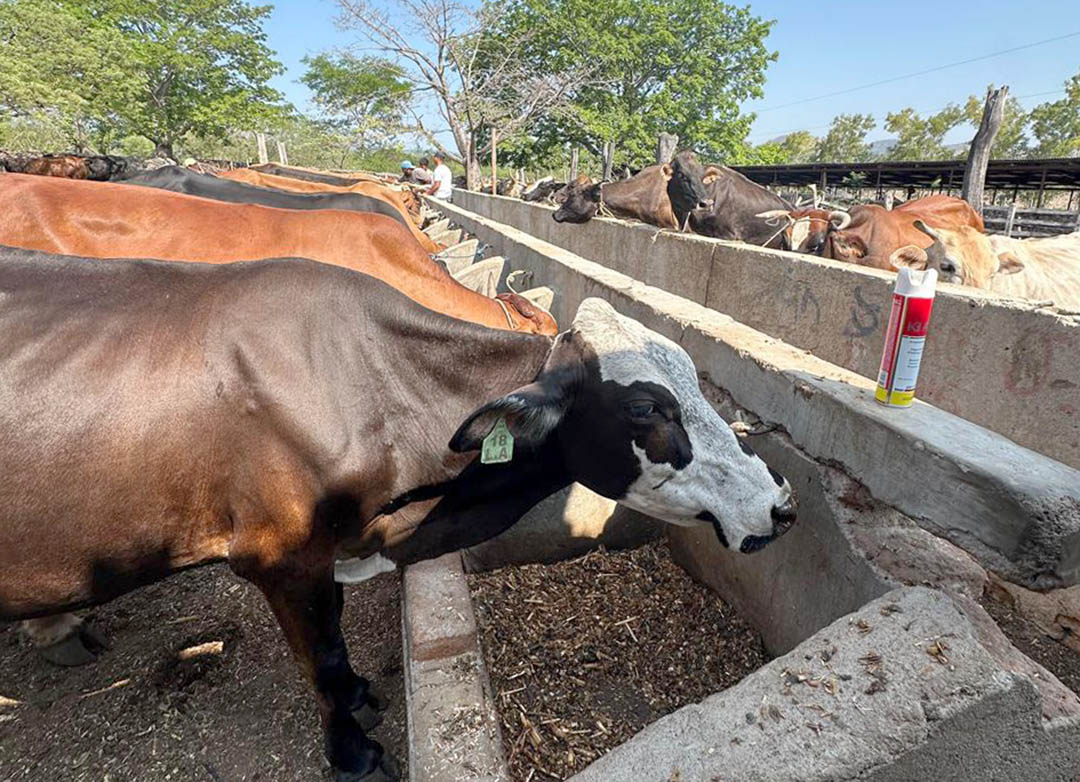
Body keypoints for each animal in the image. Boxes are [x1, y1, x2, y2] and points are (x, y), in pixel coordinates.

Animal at [0, 248, 798, 780]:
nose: (782, 503)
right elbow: (320, 656)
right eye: (646, 410)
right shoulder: (279, 557)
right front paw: (353, 751)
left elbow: (336, 639)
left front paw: (360, 696)